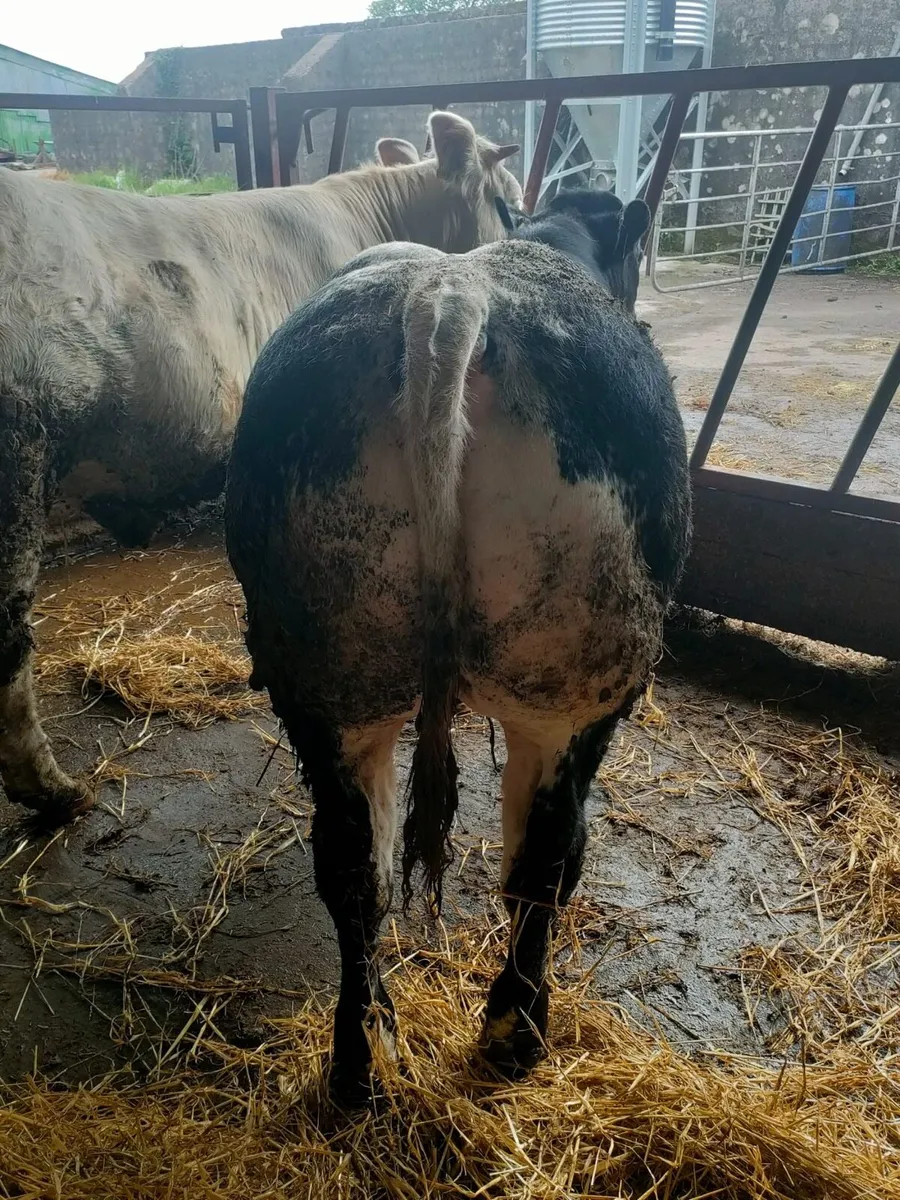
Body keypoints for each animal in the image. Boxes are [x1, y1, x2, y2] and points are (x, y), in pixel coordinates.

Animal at [224, 189, 692, 1106]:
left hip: (332, 684)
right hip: (569, 691)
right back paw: (515, 1032)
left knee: (353, 868)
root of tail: (449, 303)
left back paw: (362, 1056)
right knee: (545, 861)